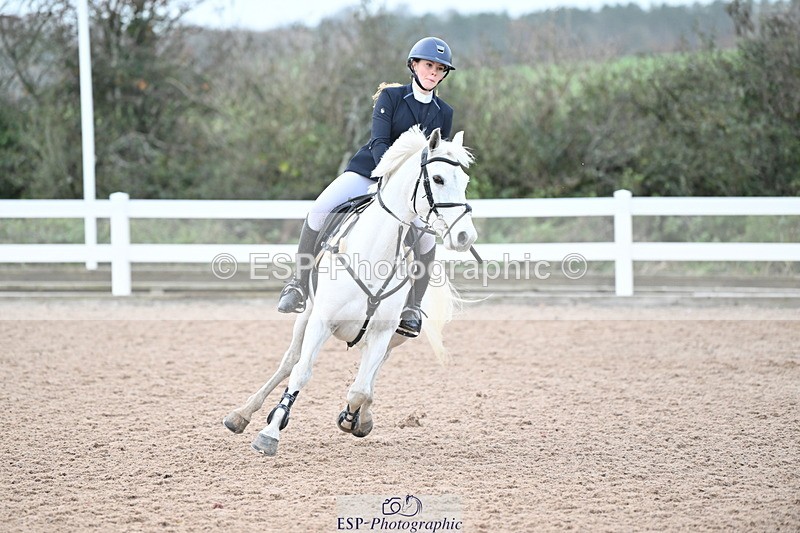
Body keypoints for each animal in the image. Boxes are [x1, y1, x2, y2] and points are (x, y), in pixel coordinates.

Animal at [222, 126, 477, 456]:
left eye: (465, 182)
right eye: (438, 179)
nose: (465, 236)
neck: (374, 252)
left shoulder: (382, 333)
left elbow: (360, 390)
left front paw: (351, 418)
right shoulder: (321, 322)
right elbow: (301, 372)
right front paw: (270, 432)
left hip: (394, 337)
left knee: (372, 374)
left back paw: (361, 418)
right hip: (306, 315)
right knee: (290, 362)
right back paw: (241, 414)